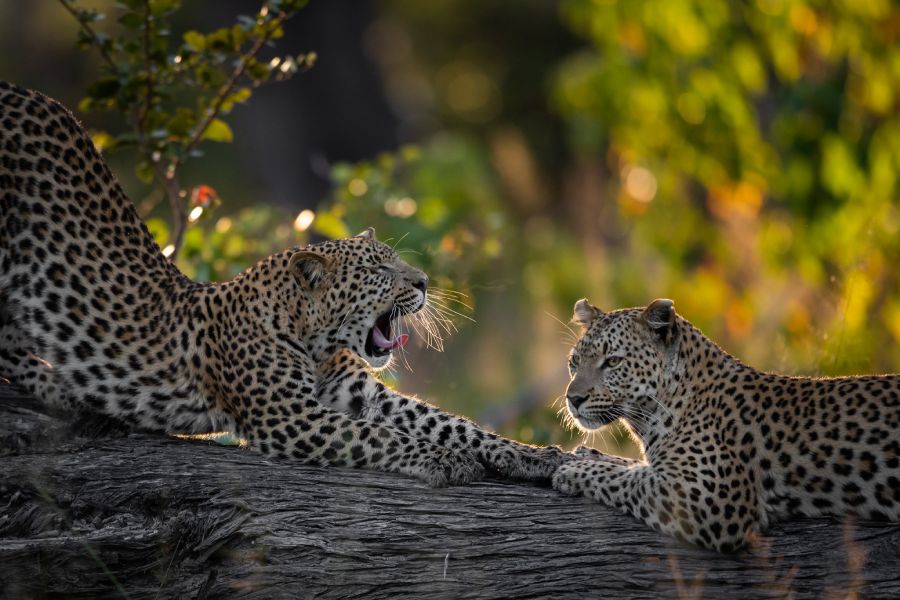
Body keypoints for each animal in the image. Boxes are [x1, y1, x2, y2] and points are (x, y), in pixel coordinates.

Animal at [0, 81, 566, 487]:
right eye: (380, 271)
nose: (425, 282)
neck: (311, 336)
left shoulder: (360, 392)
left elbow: (451, 422)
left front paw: (533, 455)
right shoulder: (290, 417)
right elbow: (381, 437)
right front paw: (445, 459)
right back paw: (63, 388)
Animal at [551, 297, 900, 552]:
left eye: (613, 362)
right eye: (574, 362)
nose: (573, 399)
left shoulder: (708, 497)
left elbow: (629, 480)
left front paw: (574, 470)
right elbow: (633, 467)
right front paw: (586, 455)